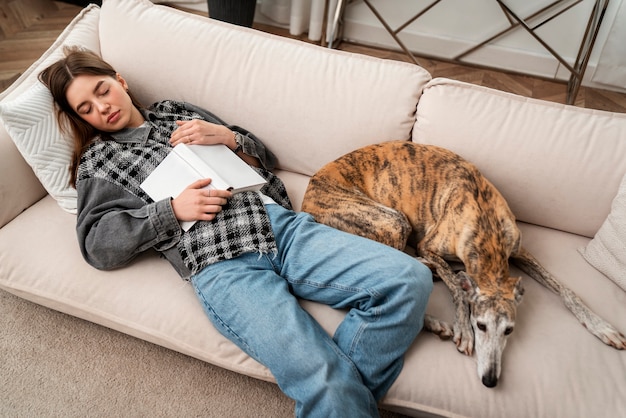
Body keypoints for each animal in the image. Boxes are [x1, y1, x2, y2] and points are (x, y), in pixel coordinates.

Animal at [302, 141, 624, 388]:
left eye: (509, 330)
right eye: (480, 325)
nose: (490, 380)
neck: (487, 228)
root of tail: (306, 200)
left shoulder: (519, 251)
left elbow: (566, 290)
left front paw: (601, 326)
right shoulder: (429, 245)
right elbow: (457, 289)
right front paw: (463, 330)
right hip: (393, 220)